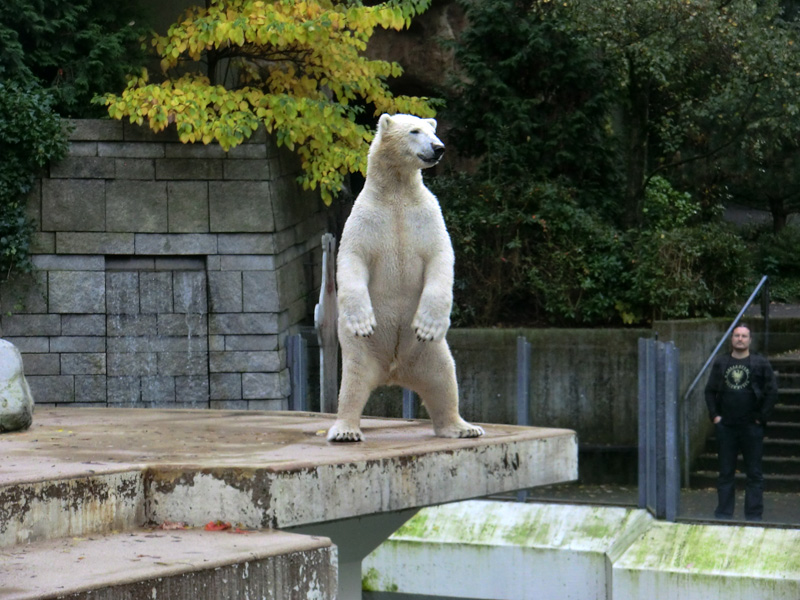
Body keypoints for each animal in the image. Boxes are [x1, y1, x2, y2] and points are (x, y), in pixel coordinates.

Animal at [326, 113, 488, 440]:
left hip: (430, 351)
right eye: (415, 131)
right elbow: (352, 258)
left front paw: (427, 324)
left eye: (432, 130)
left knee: (444, 378)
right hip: (360, 350)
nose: (438, 148)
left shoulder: (427, 215)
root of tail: (393, 371)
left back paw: (463, 427)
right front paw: (363, 320)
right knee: (353, 382)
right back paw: (345, 430)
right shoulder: (365, 219)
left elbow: (441, 257)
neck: (397, 192)